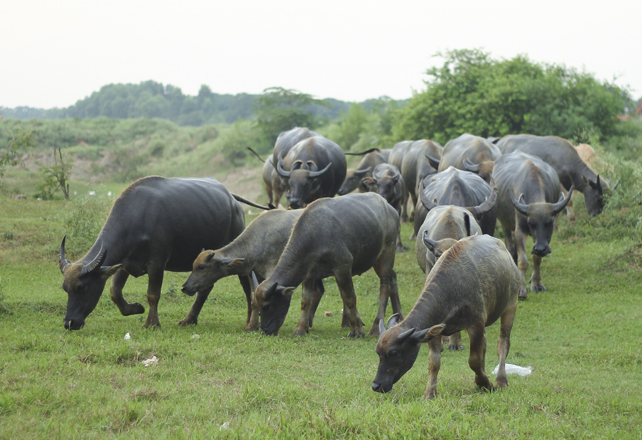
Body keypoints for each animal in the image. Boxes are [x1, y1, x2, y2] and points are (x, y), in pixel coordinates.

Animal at [251, 192, 398, 336]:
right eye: (258, 308)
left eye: (267, 306)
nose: (265, 331)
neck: (314, 236)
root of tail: (391, 208)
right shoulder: (308, 274)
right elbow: (305, 301)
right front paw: (300, 329)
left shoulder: (343, 267)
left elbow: (350, 298)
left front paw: (357, 330)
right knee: (392, 278)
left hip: (387, 253)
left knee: (384, 286)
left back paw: (376, 326)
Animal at [370, 237, 520, 398]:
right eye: (377, 352)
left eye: (393, 353)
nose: (376, 385)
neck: (452, 289)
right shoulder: (435, 329)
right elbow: (434, 362)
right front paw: (429, 393)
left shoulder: (476, 325)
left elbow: (474, 360)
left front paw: (485, 383)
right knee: (485, 345)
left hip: (511, 305)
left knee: (503, 342)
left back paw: (501, 380)